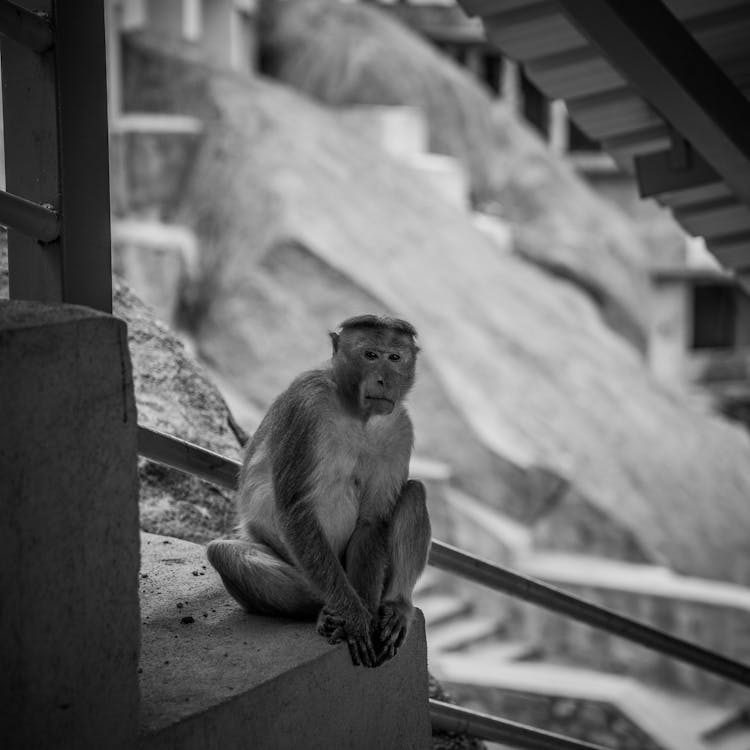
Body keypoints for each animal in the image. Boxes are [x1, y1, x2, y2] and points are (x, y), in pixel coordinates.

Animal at [206, 316, 432, 668]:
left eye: (394, 357)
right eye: (370, 354)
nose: (384, 380)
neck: (356, 412)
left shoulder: (399, 427)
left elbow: (373, 521)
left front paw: (367, 611)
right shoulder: (308, 402)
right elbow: (296, 509)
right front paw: (354, 617)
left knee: (413, 494)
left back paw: (396, 606)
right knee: (226, 553)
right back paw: (326, 612)